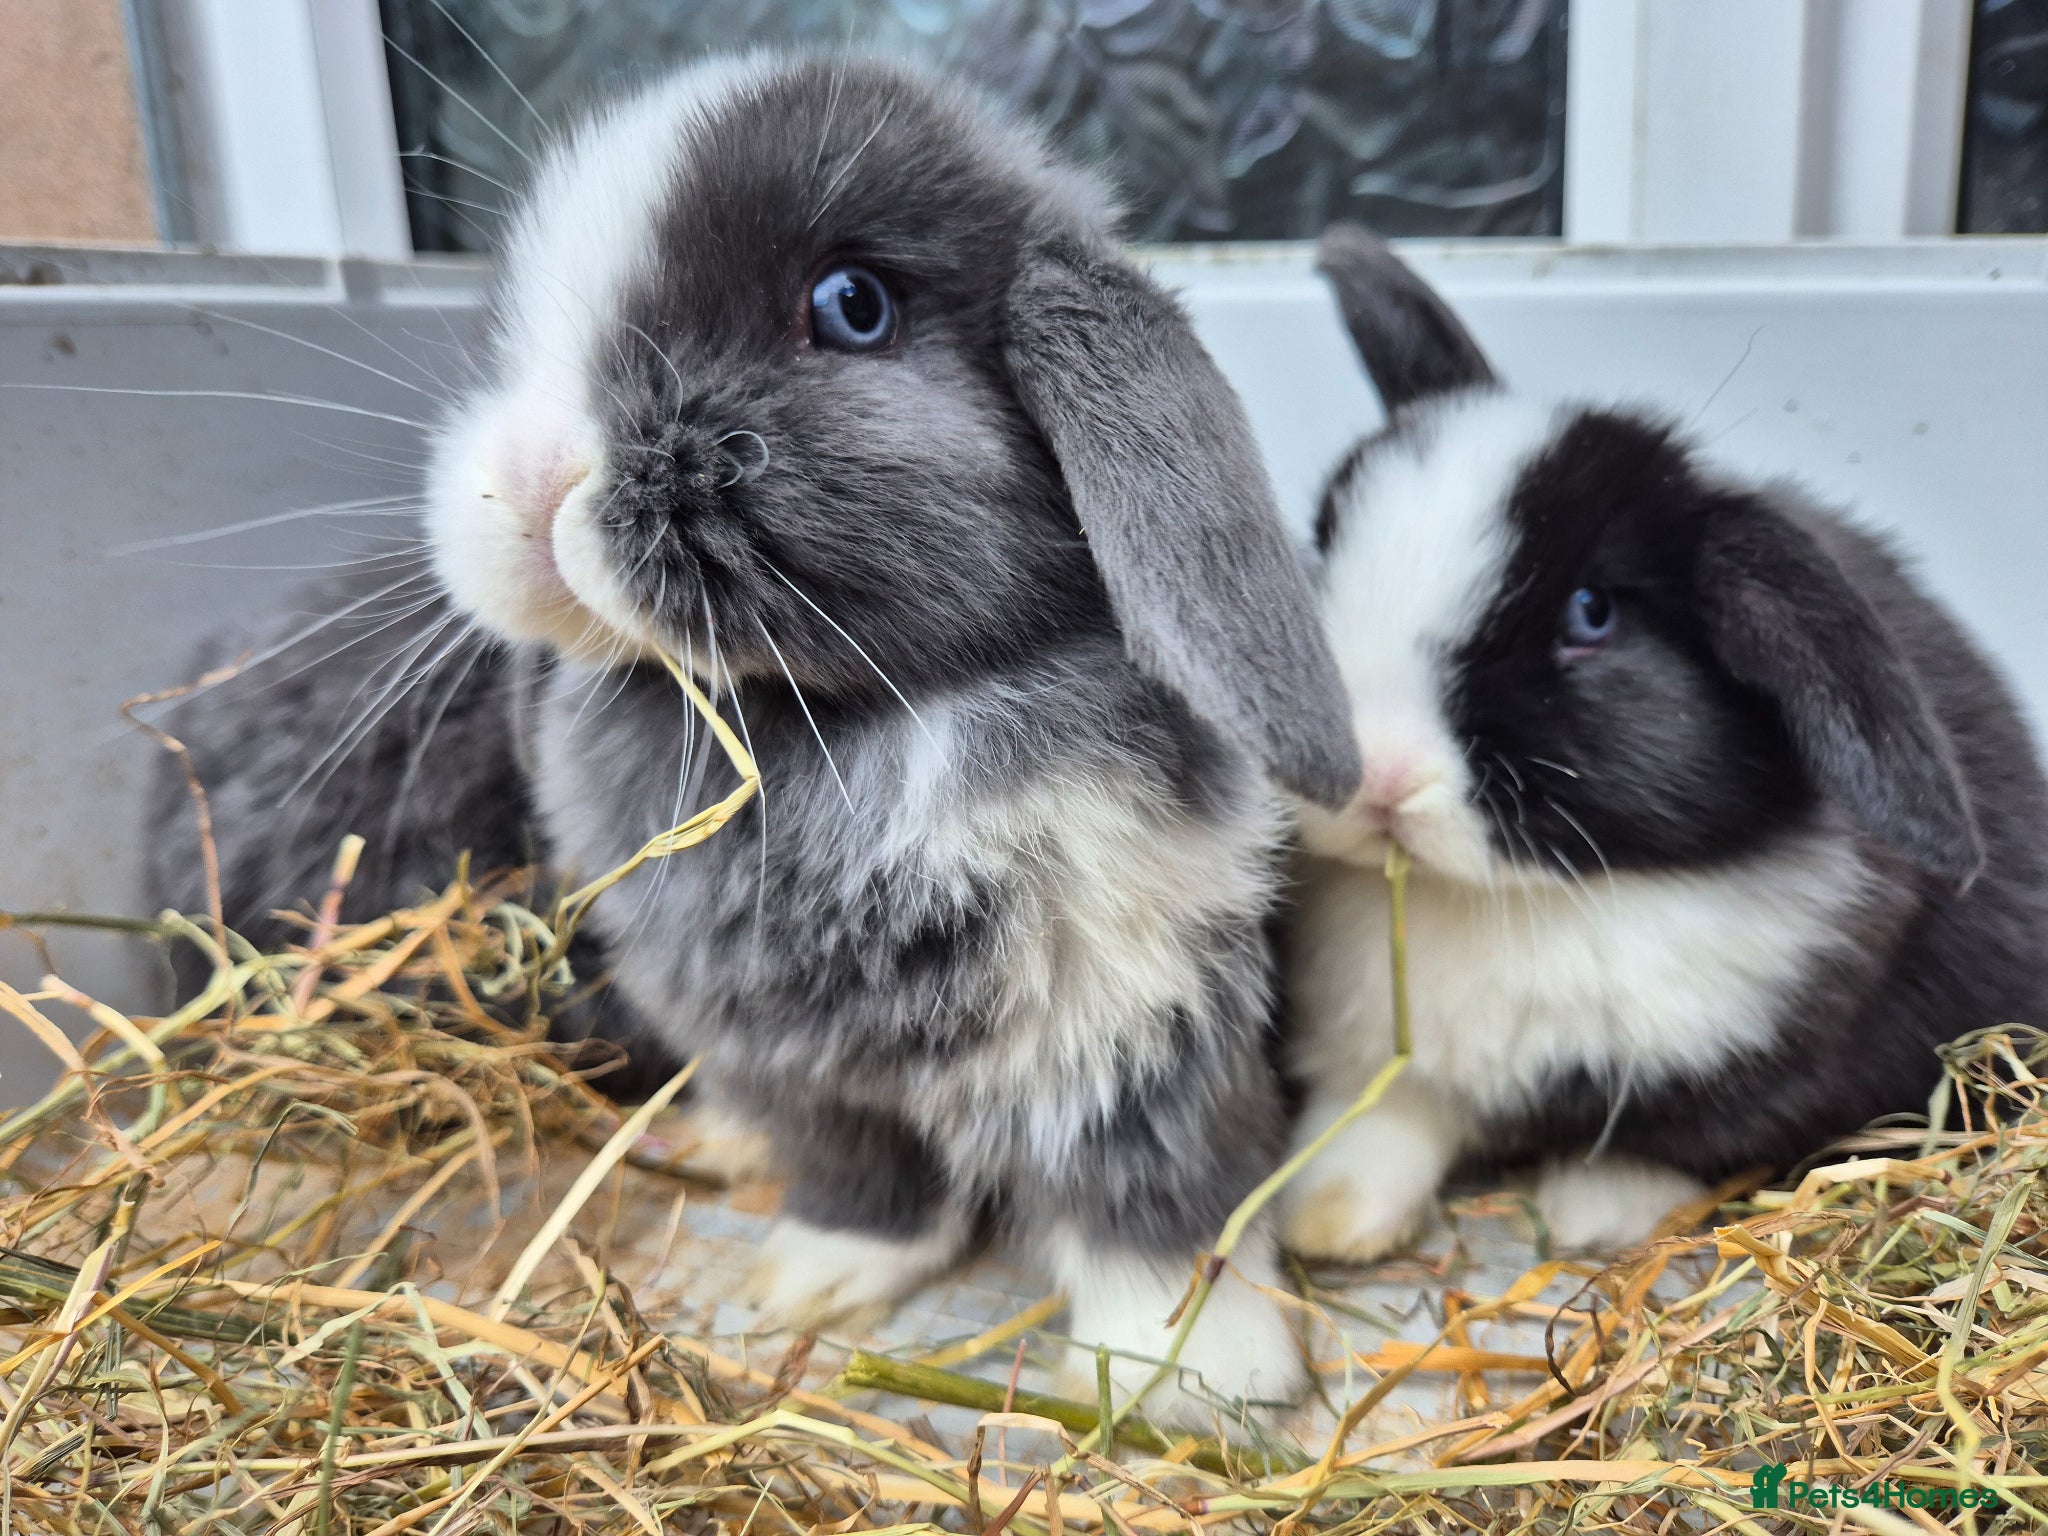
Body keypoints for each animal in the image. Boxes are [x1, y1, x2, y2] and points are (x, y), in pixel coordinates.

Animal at [146, 54, 1363, 1422]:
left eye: (851, 304)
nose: (531, 476)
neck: (834, 724)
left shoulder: (1130, 1010)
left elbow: (1153, 1196)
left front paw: (1194, 1378)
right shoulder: (788, 1060)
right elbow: (858, 1176)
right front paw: (816, 1281)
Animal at [1278, 225, 2048, 1262]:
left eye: (1591, 613)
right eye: (1322, 542)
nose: (1371, 774)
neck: (1508, 899)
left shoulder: (1779, 1059)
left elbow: (1672, 1138)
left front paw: (1596, 1213)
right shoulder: (1374, 1049)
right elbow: (1383, 1113)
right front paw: (1327, 1216)